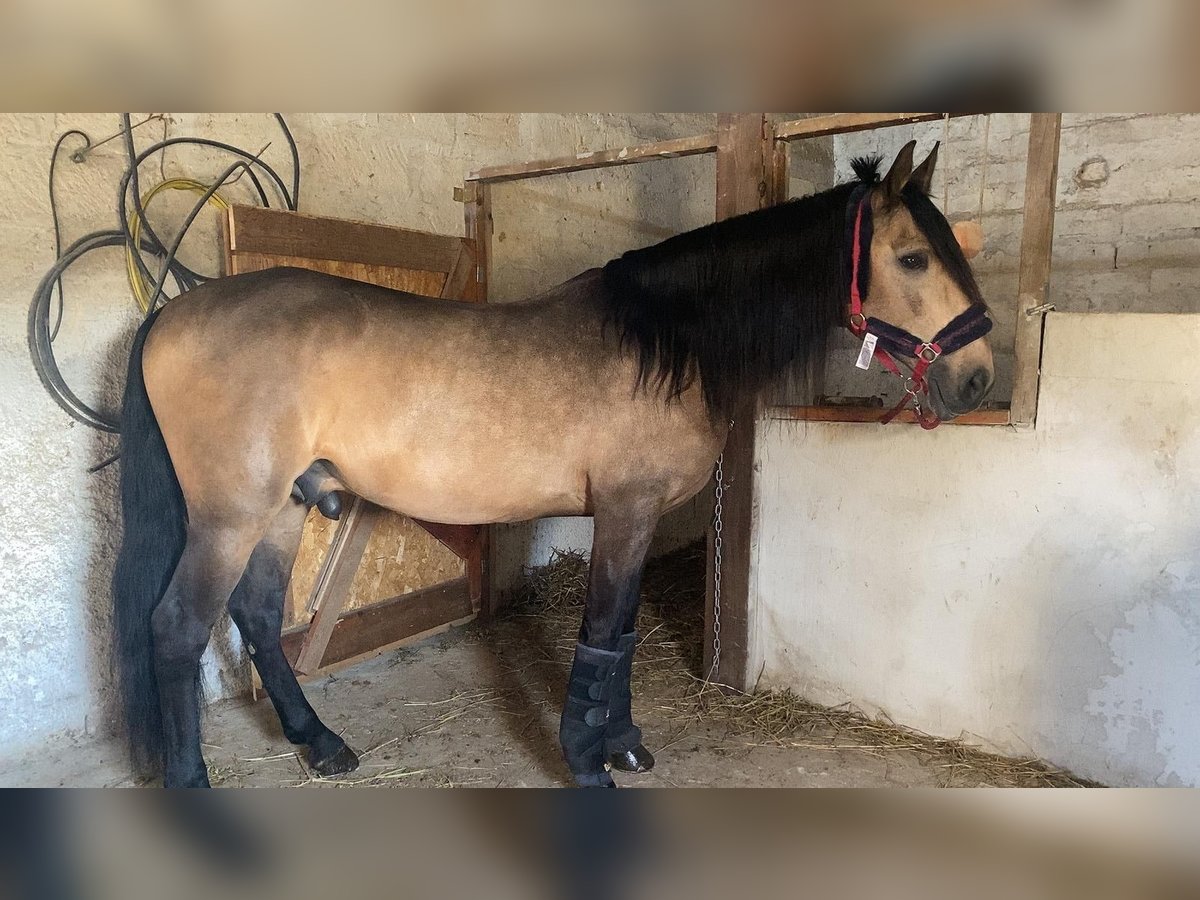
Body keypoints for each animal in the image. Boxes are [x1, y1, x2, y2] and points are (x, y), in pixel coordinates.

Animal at [110, 139, 993, 787]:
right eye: (914, 258)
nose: (980, 378)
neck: (666, 343)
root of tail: (173, 314)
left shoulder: (639, 516)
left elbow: (626, 632)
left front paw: (625, 743)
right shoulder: (627, 509)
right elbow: (599, 633)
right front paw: (587, 764)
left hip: (287, 505)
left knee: (258, 617)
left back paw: (322, 745)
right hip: (231, 515)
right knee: (177, 628)